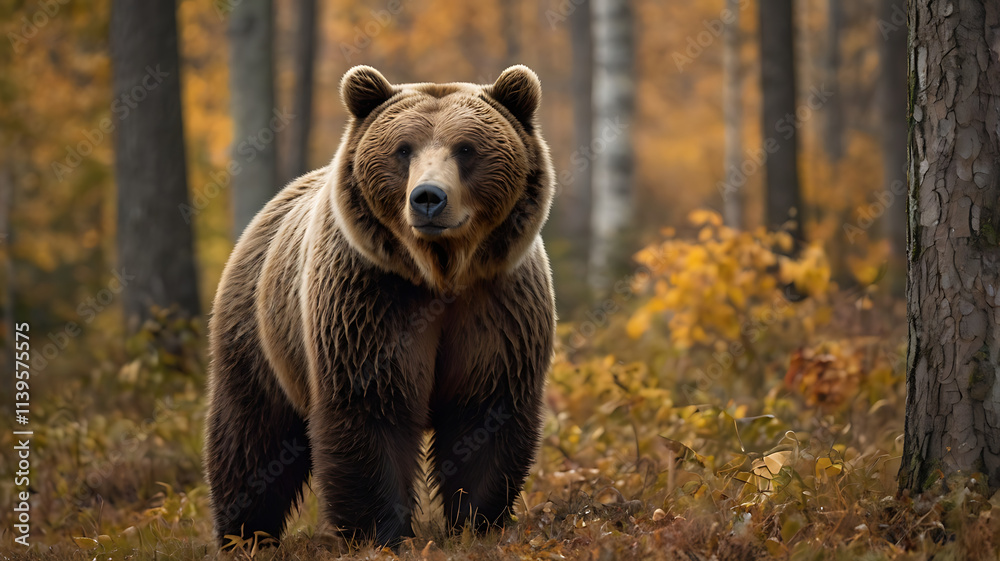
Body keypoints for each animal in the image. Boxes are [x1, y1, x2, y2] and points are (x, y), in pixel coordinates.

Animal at [203, 64, 556, 548]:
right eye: (403, 149)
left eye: (466, 148)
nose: (428, 197)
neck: (439, 272)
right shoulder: (371, 299)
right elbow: (371, 409)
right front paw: (381, 534)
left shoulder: (497, 306)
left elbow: (486, 412)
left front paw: (479, 523)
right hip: (258, 334)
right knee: (251, 436)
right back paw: (246, 536)